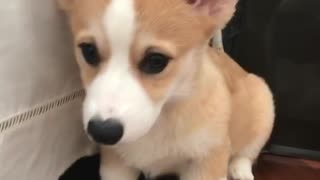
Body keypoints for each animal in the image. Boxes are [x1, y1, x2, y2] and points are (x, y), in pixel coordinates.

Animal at [58, 0, 274, 179]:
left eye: (156, 61)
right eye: (89, 51)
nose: (102, 132)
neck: (161, 120)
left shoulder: (206, 159)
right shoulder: (116, 165)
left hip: (264, 101)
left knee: (247, 152)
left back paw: (240, 170)